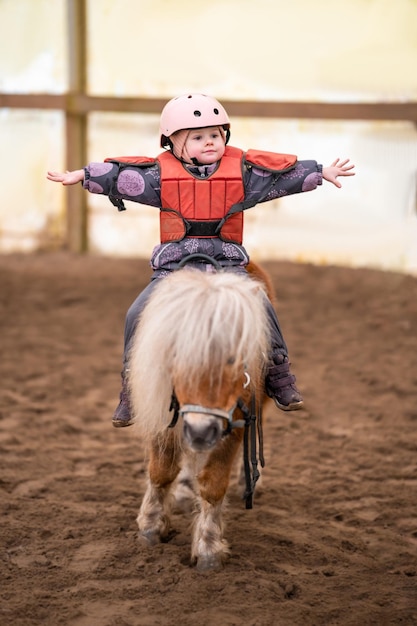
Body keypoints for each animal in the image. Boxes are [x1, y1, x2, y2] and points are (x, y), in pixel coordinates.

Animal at [128, 260, 272, 572]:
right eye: (178, 356)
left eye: (233, 359)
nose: (201, 432)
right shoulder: (163, 414)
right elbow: (161, 471)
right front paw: (151, 527)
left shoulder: (235, 423)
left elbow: (213, 485)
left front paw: (208, 548)